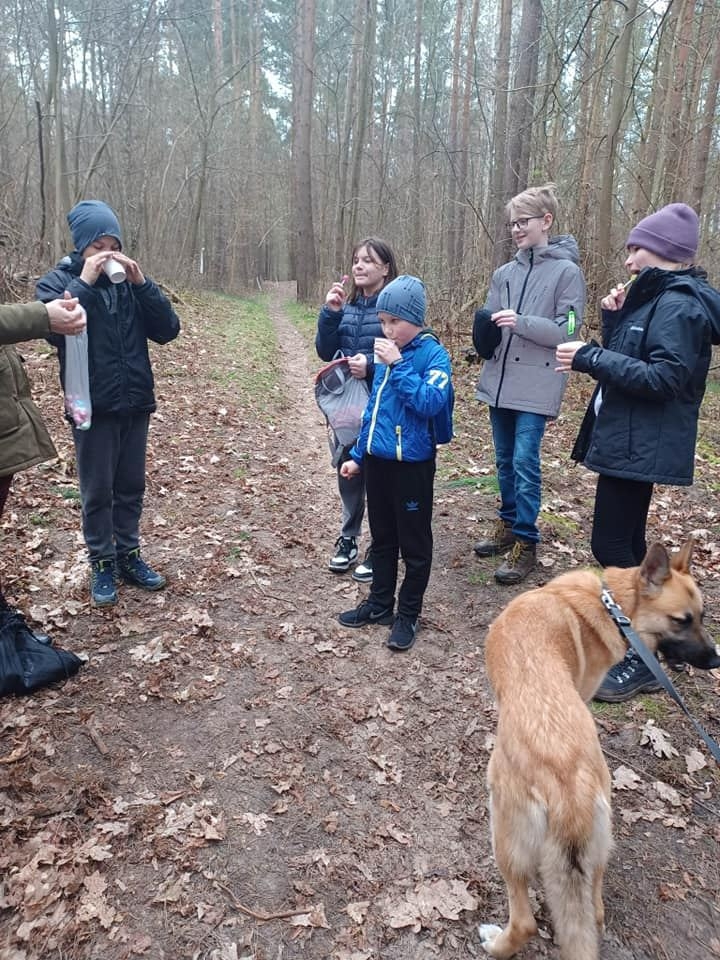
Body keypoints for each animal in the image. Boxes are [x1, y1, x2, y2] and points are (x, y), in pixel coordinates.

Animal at [478, 540, 720, 960]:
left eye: (700, 618)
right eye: (682, 620)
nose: (716, 659)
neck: (612, 605)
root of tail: (567, 788)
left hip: (505, 836)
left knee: (524, 920)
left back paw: (496, 943)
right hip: (599, 842)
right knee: (593, 905)